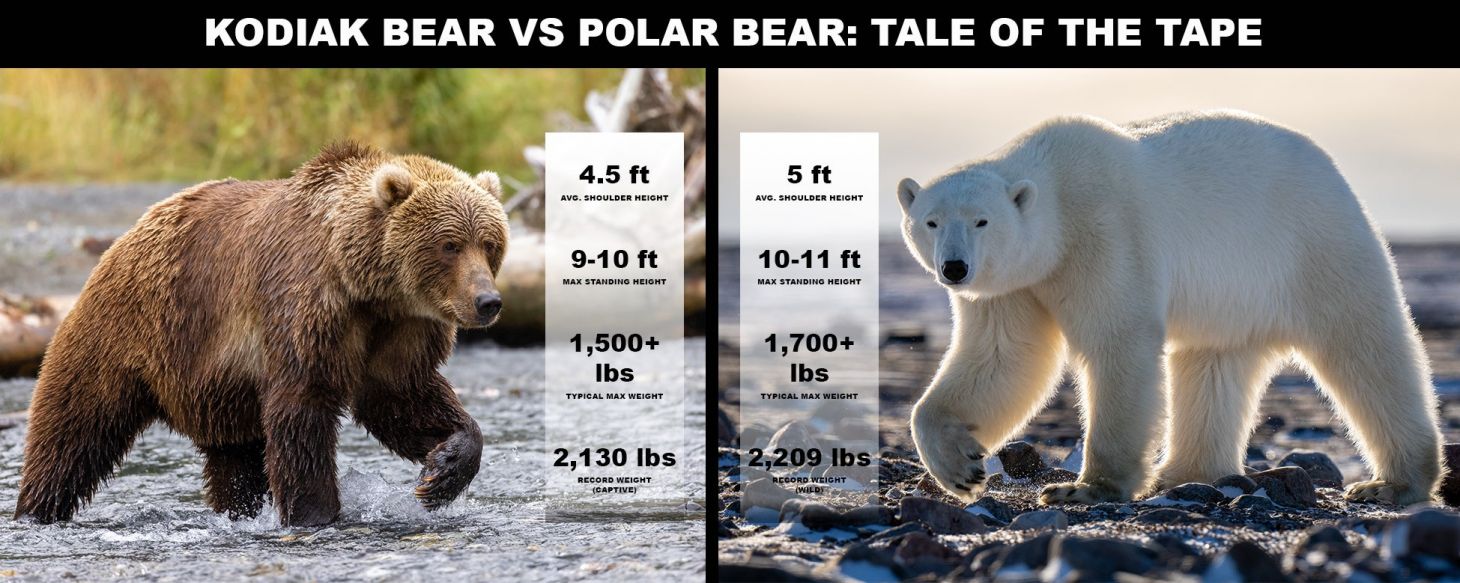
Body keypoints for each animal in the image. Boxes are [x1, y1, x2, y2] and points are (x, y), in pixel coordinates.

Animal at [14, 142, 509, 526]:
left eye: (488, 242)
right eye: (449, 244)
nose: (487, 301)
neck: (367, 287)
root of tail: (125, 238)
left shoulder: (401, 329)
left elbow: (401, 397)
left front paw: (440, 473)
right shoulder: (306, 311)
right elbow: (302, 412)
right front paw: (316, 514)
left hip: (220, 394)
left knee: (235, 462)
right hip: (126, 332)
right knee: (73, 429)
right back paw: (36, 510)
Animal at [898, 110, 1443, 506]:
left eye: (982, 220)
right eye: (931, 221)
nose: (955, 268)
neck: (1059, 197)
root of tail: (1331, 170)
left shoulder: (1104, 233)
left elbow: (1119, 342)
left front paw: (1084, 488)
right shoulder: (1016, 285)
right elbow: (1003, 358)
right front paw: (961, 468)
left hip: (1312, 244)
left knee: (1363, 347)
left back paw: (1393, 482)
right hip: (1232, 299)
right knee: (1213, 366)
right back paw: (1183, 472)